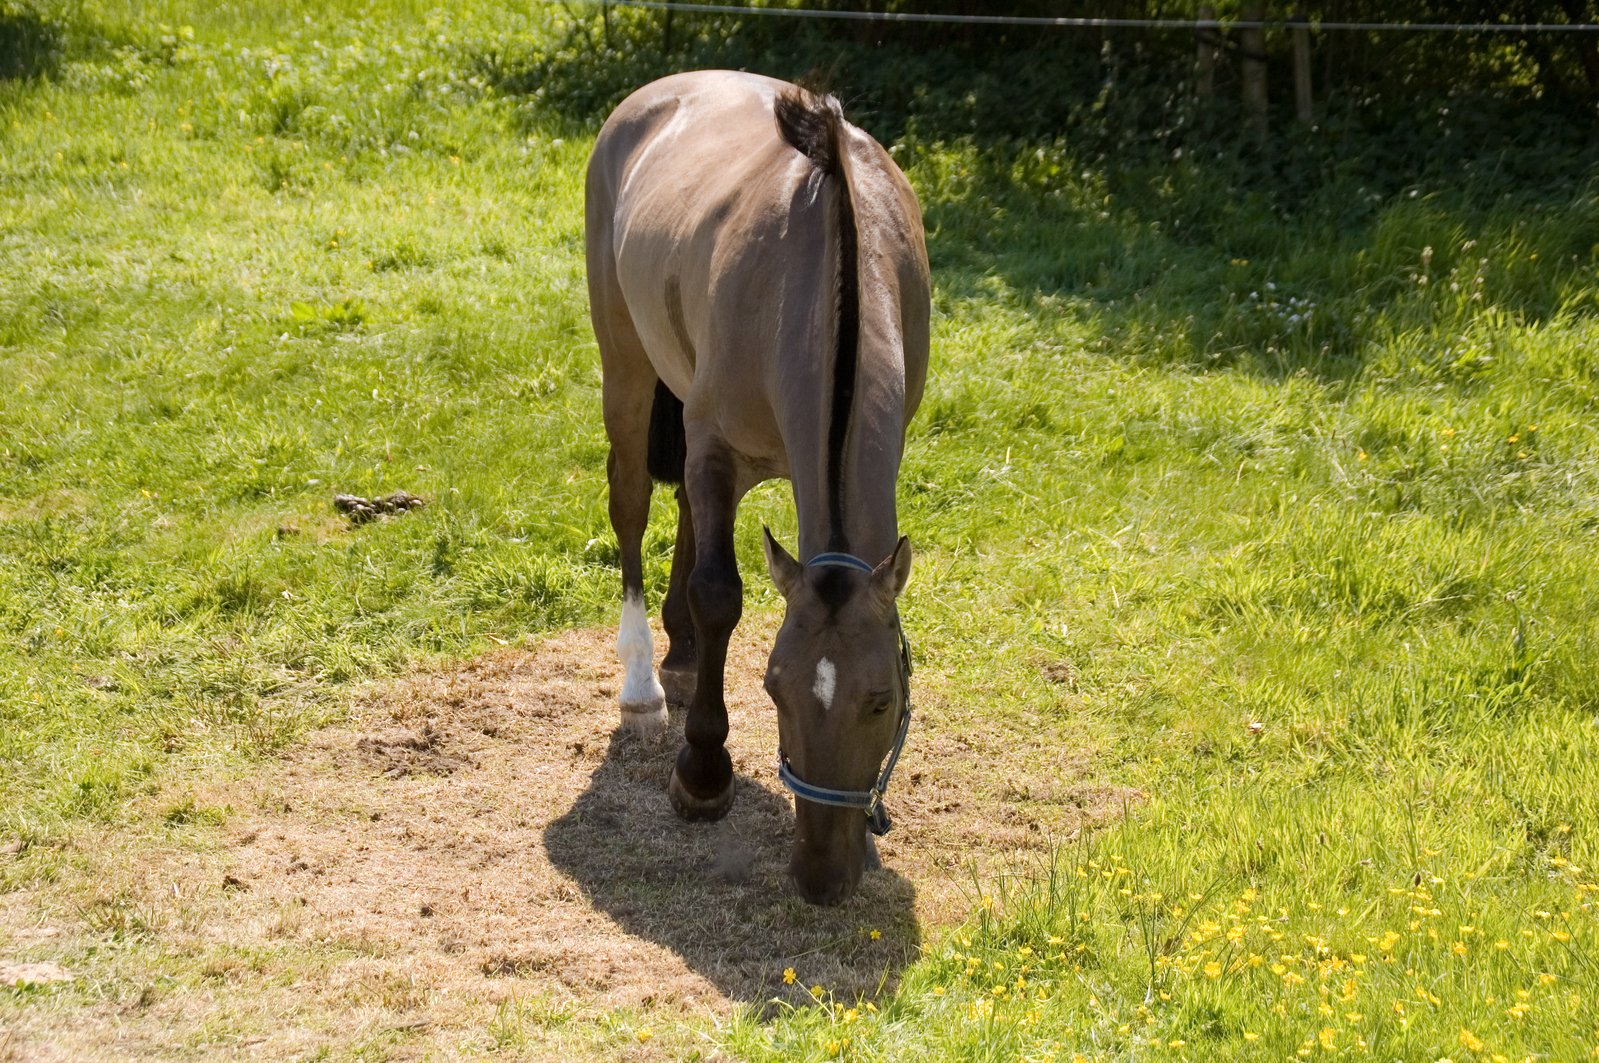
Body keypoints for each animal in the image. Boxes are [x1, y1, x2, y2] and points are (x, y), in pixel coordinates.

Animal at [588, 70, 933, 901]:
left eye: (881, 698)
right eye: (773, 688)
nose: (819, 872)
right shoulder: (716, 448)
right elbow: (719, 593)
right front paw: (702, 775)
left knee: (680, 504)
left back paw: (680, 656)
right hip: (627, 367)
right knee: (631, 504)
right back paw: (644, 683)